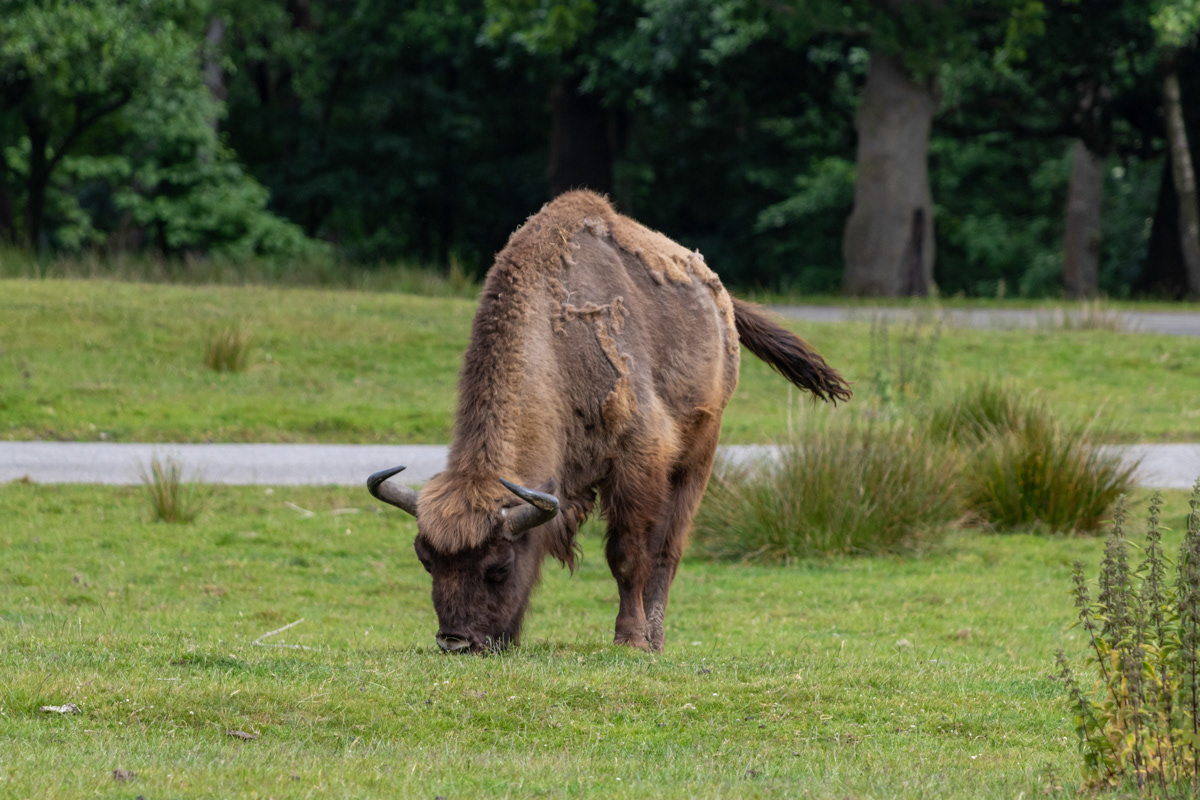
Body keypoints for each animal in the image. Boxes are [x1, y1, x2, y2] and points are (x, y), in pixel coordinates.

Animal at [369, 190, 850, 653]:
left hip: (699, 452)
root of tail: (718, 296)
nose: (455, 641)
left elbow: (627, 555)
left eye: (499, 567)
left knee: (669, 548)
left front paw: (630, 639)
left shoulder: (637, 461)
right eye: (426, 561)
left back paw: (655, 638)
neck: (556, 351)